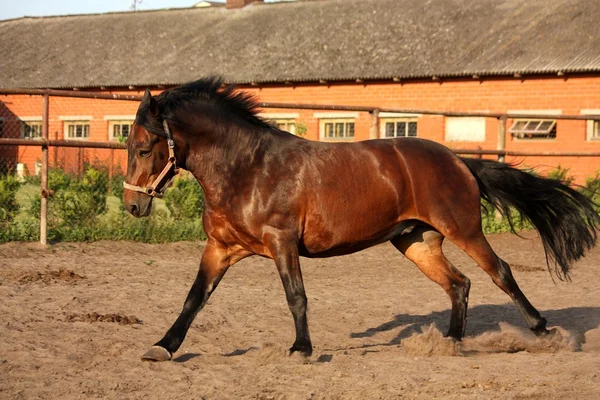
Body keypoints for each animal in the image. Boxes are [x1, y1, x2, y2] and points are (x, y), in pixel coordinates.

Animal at [123, 76, 600, 360]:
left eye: (145, 148)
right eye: (127, 145)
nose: (132, 206)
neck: (249, 168)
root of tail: (458, 160)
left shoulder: (281, 242)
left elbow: (296, 296)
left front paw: (301, 349)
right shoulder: (221, 247)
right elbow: (194, 298)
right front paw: (163, 347)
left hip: (463, 229)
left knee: (500, 272)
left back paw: (544, 332)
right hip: (416, 241)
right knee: (459, 284)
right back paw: (449, 343)